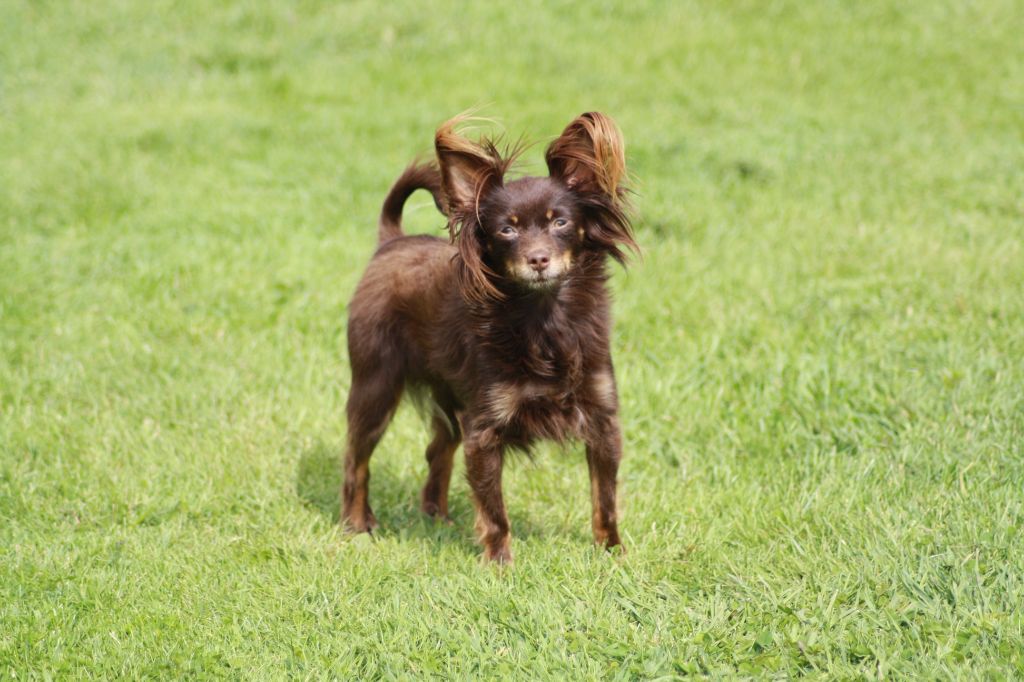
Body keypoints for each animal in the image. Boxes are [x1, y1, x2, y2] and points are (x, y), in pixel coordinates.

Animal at [342, 111, 630, 561]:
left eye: (561, 222)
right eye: (506, 231)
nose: (538, 259)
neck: (543, 320)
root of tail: (392, 242)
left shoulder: (603, 422)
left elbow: (605, 499)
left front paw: (612, 553)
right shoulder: (485, 431)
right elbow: (494, 510)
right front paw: (500, 562)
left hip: (449, 398)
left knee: (437, 449)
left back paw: (436, 516)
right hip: (376, 387)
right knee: (356, 459)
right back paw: (357, 523)